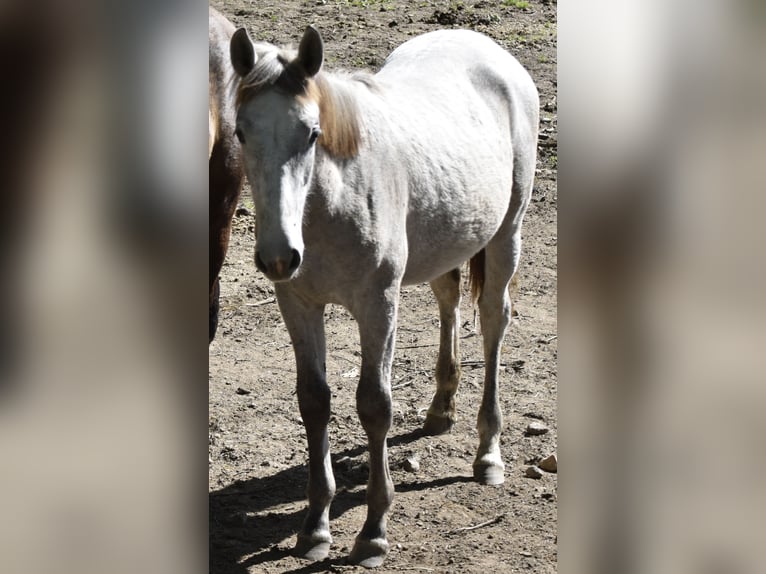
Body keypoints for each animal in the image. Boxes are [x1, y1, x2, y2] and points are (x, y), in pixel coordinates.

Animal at [230, 25, 539, 567]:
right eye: (242, 133)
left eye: (312, 133)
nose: (279, 256)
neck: (334, 202)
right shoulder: (299, 304)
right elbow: (314, 401)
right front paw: (315, 526)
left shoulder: (378, 305)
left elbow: (374, 405)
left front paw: (373, 532)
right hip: (446, 241)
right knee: (448, 299)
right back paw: (440, 411)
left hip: (507, 234)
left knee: (493, 323)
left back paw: (488, 454)